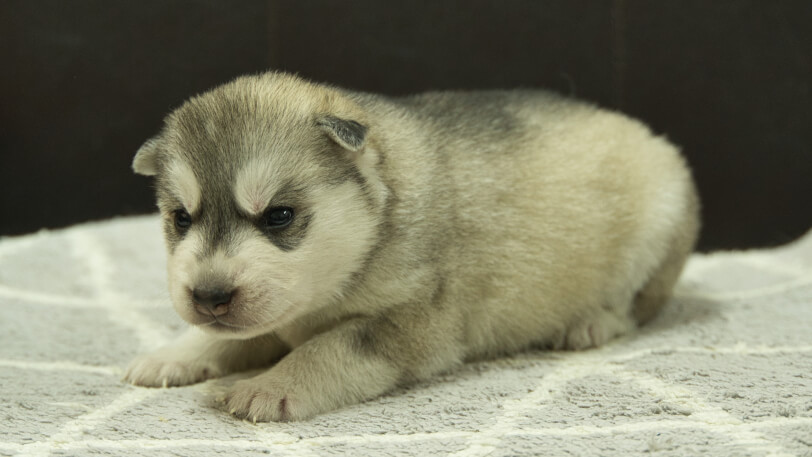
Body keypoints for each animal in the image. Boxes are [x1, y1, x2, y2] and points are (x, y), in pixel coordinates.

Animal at [123, 70, 700, 420]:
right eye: (180, 218)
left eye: (279, 216)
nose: (209, 296)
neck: (377, 224)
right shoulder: (273, 314)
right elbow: (230, 337)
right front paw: (174, 355)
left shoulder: (415, 322)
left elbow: (329, 347)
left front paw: (270, 385)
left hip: (661, 218)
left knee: (636, 307)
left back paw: (590, 323)